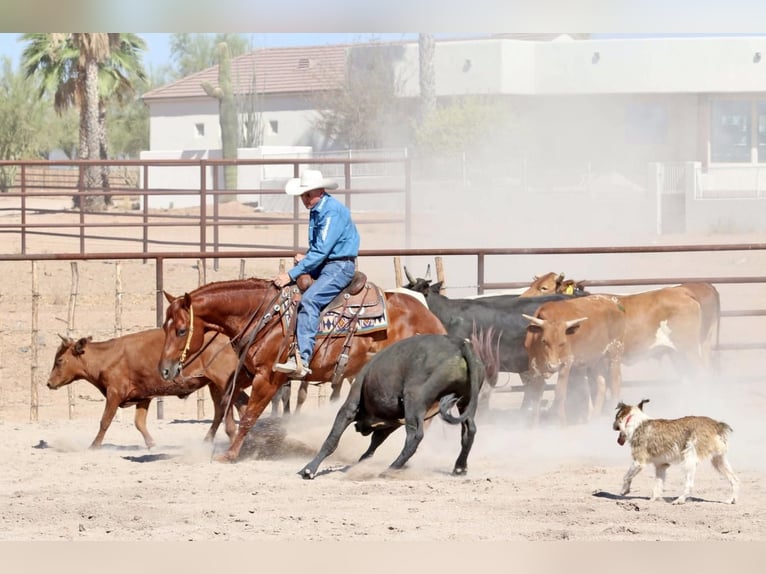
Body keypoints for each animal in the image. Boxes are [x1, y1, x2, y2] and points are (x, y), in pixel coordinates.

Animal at [47, 328, 249, 450]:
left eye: (60, 360)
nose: (49, 383)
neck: (106, 357)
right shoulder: (143, 396)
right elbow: (139, 423)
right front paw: (152, 443)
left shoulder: (114, 394)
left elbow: (105, 421)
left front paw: (94, 446)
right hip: (214, 384)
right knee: (226, 410)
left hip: (223, 381)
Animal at [156, 278, 448, 464]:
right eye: (164, 326)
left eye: (181, 330)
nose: (165, 370)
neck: (264, 315)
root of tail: (432, 319)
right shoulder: (249, 371)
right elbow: (229, 399)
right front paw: (244, 436)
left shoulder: (268, 377)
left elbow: (249, 414)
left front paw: (231, 453)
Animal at [296, 330, 500, 480]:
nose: (359, 429)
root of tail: (458, 344)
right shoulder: (392, 423)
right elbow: (374, 443)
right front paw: (361, 461)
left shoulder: (350, 407)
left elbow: (332, 439)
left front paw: (309, 469)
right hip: (466, 401)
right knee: (469, 430)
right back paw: (459, 467)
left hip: (414, 401)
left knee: (415, 436)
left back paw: (391, 468)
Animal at [524, 294, 628, 426]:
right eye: (544, 341)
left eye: (562, 343)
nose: (553, 366)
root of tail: (613, 302)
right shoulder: (534, 367)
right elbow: (536, 396)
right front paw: (534, 426)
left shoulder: (566, 363)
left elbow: (560, 393)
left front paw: (561, 423)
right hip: (596, 359)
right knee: (602, 384)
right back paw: (595, 417)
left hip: (615, 352)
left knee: (615, 383)